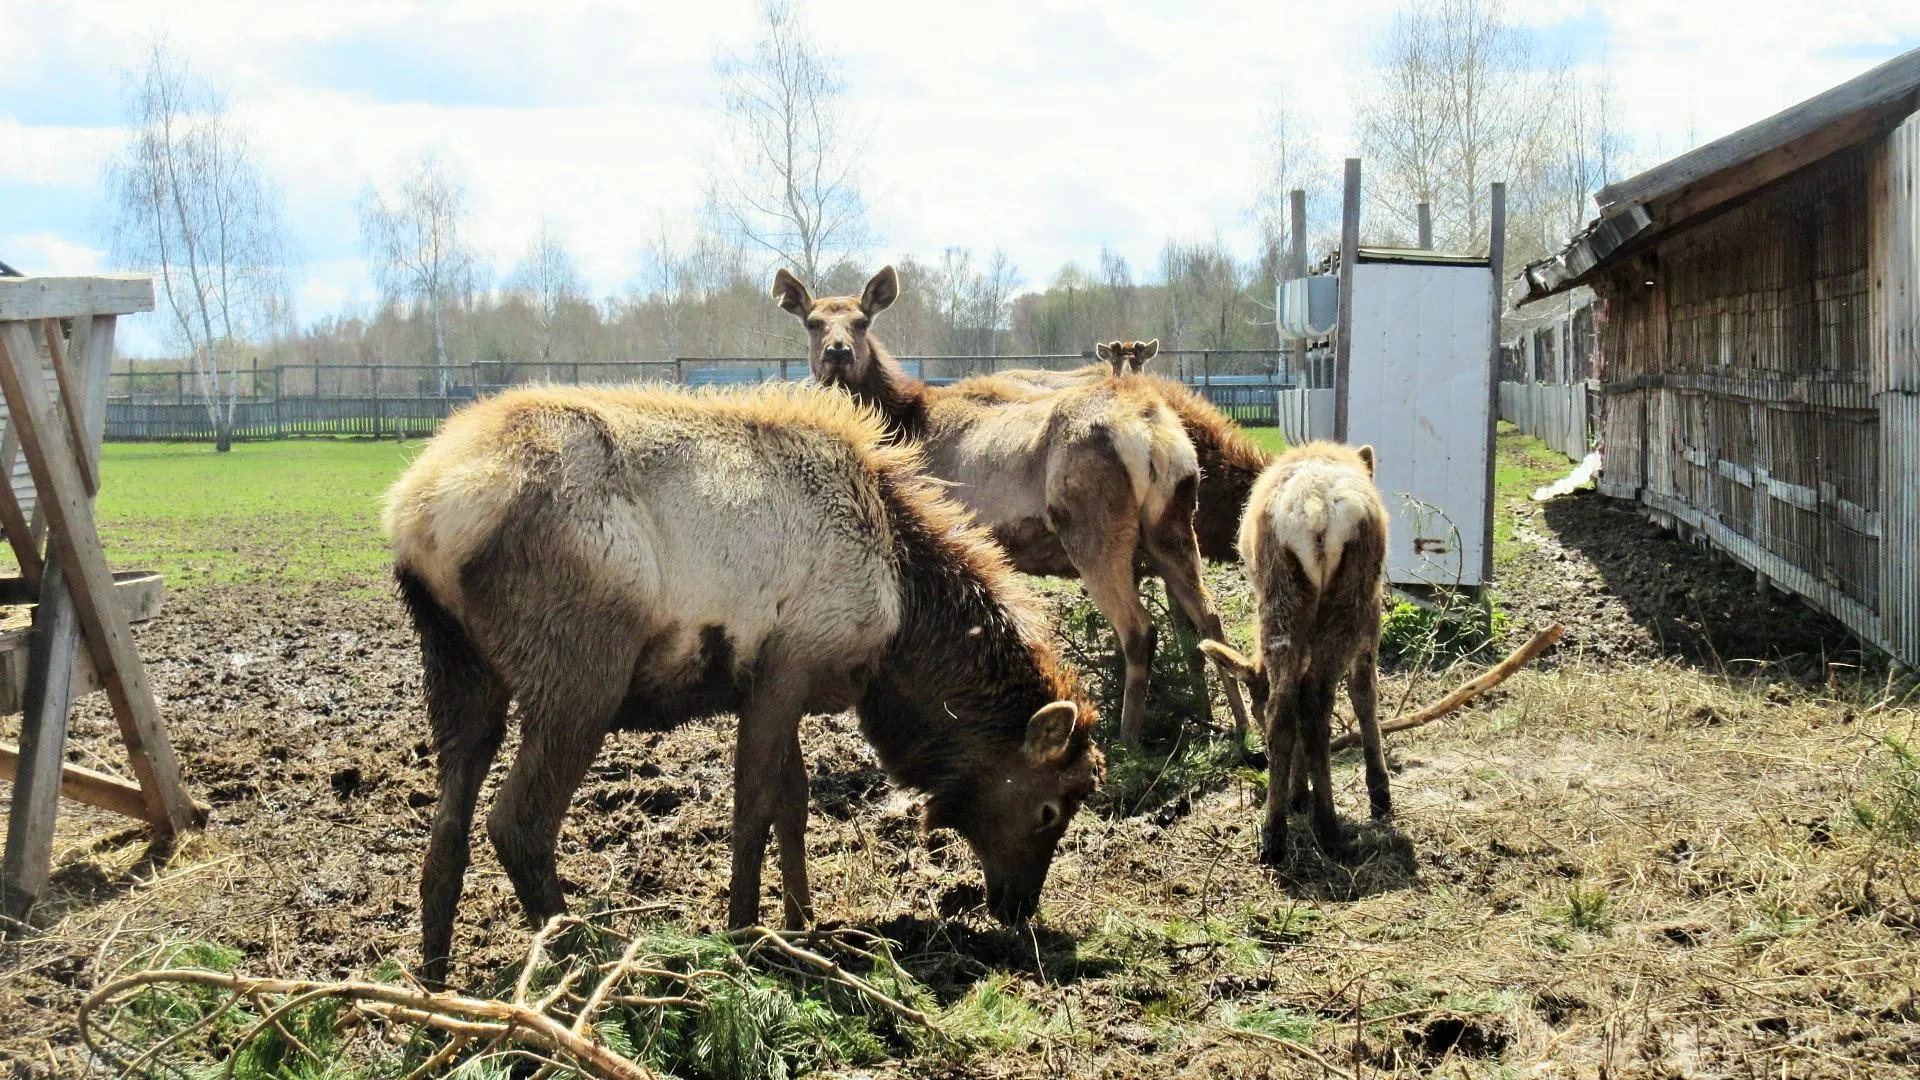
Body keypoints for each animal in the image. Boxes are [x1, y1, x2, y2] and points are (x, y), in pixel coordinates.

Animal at [382, 380, 1105, 983]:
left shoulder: (780, 683)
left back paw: (434, 982)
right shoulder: (785, 667)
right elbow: (754, 807)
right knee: (518, 821)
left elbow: (794, 802)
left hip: (456, 669)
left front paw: (805, 922)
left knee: (447, 832)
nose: (1019, 907)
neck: (899, 628)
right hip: (581, 671)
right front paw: (743, 933)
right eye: (1050, 808)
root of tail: (418, 516)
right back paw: (580, 960)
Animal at [771, 265, 1251, 745]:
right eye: (812, 322)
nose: (836, 353)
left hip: (1093, 527)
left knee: (1139, 630)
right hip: (1173, 523)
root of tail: (1155, 436)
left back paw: (1127, 738)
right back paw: (1241, 728)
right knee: (1208, 619)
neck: (898, 423)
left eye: (861, 322)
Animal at [1190, 438, 1390, 857]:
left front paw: (1298, 794)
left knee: (1285, 707)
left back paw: (1274, 833)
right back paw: (1328, 826)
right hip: (1352, 596)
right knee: (1316, 702)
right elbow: (1364, 694)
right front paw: (1379, 794)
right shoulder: (1372, 621)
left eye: (1252, 704)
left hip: (1281, 591)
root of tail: (1315, 508)